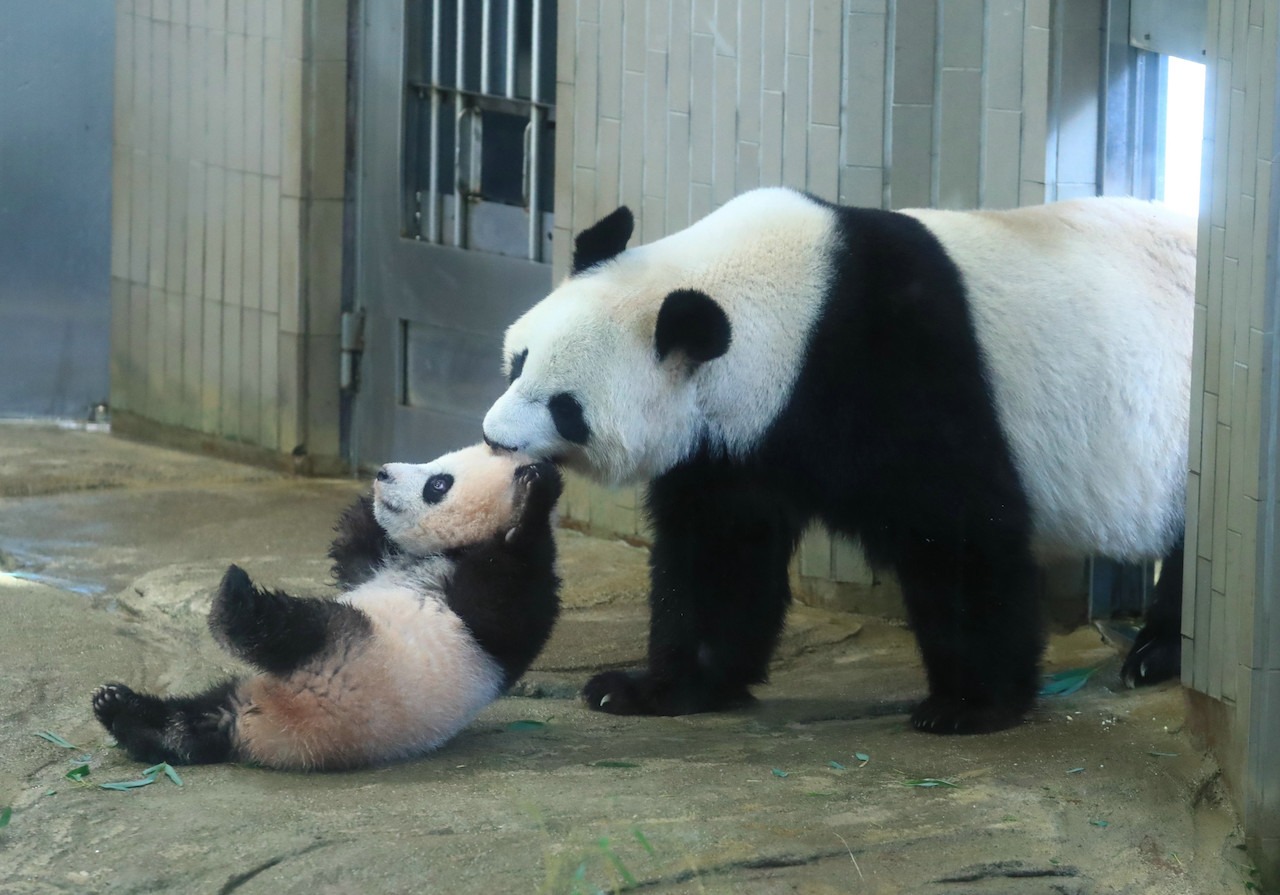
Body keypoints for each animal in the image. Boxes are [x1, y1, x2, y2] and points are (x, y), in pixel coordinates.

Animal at [91, 444, 562, 770]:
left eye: (438, 484)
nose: (384, 473)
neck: (447, 552)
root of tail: (265, 731)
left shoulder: (493, 616)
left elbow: (507, 603)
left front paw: (535, 494)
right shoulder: (378, 565)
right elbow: (354, 553)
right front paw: (365, 500)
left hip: (351, 654)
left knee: (292, 628)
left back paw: (234, 600)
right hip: (262, 687)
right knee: (196, 721)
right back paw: (122, 708)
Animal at [482, 187, 1196, 735]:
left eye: (565, 407)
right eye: (519, 361)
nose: (494, 438)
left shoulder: (898, 363)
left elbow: (961, 530)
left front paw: (969, 705)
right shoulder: (734, 439)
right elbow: (719, 552)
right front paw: (650, 688)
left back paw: (1156, 654)